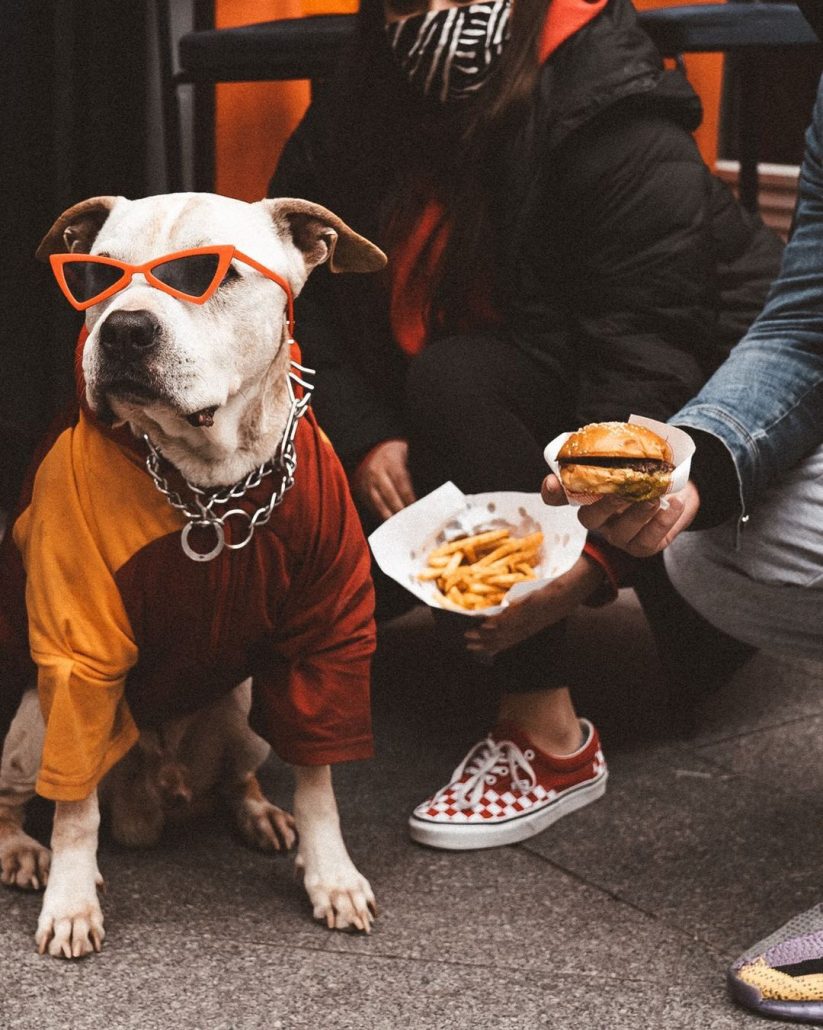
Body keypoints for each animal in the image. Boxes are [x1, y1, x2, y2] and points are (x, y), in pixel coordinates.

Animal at [0, 193, 387, 955]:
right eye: (98, 275)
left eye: (215, 273)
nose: (125, 331)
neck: (211, 483)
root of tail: (159, 790)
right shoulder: (78, 658)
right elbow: (74, 809)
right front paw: (70, 900)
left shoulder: (320, 641)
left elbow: (319, 779)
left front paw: (331, 875)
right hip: (28, 726)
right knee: (25, 798)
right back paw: (23, 852)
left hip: (249, 708)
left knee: (239, 775)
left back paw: (260, 813)